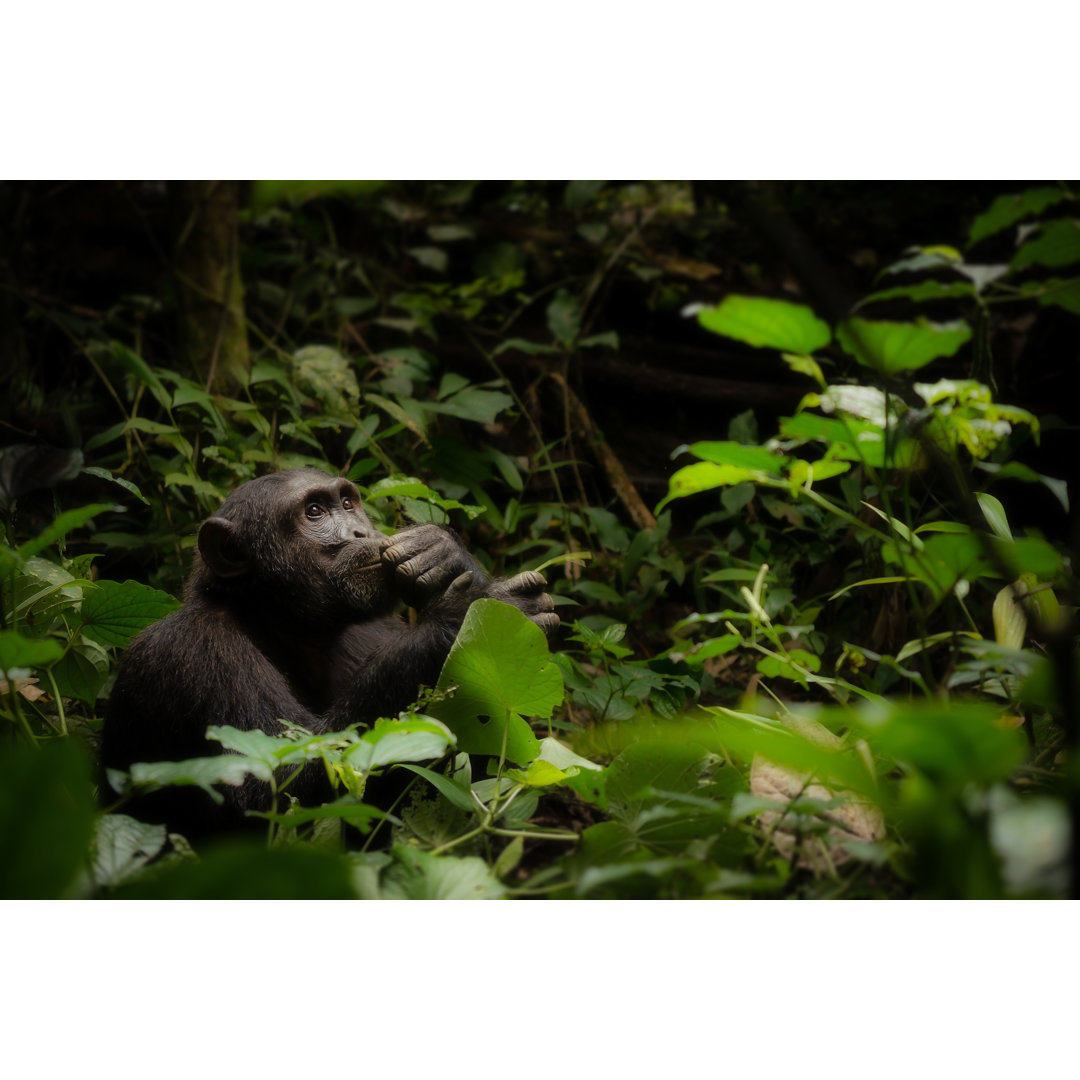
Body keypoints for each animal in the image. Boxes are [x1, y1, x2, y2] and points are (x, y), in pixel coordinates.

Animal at [101, 466, 557, 833]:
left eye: (348, 503)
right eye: (315, 512)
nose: (361, 532)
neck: (283, 623)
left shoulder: (376, 629)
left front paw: (442, 552)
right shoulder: (196, 651)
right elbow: (278, 779)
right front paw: (473, 614)